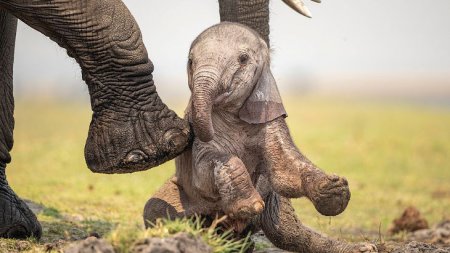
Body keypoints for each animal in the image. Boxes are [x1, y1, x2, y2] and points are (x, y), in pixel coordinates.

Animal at [144, 22, 376, 253]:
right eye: (190, 61)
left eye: (243, 59)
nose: (188, 128)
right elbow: (204, 171)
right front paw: (249, 205)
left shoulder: (268, 117)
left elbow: (285, 170)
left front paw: (335, 188)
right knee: (155, 209)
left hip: (275, 202)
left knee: (289, 233)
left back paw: (364, 248)